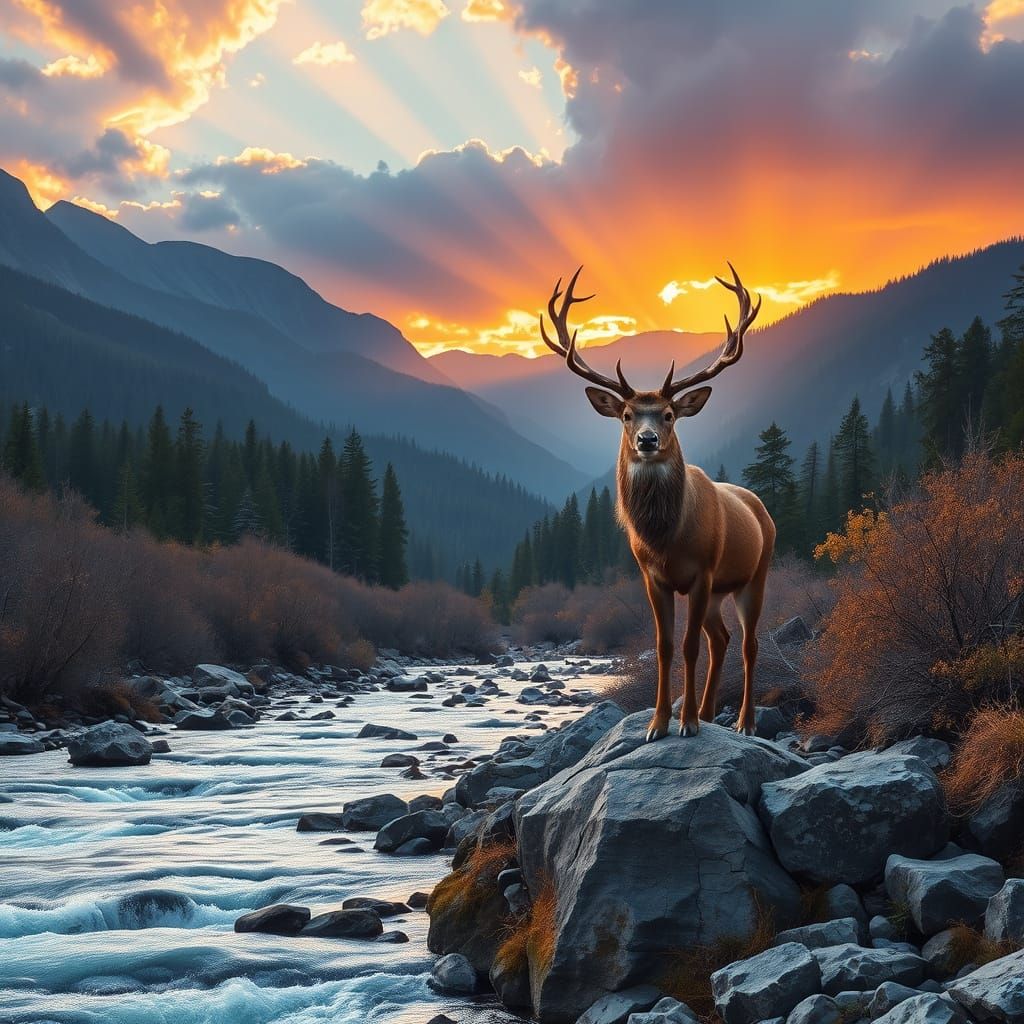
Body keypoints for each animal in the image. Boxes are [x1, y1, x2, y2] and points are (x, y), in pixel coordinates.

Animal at [540, 265, 773, 741]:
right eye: (628, 414)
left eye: (668, 414)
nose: (647, 440)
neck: (666, 538)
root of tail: (761, 508)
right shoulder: (652, 576)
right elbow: (664, 646)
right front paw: (659, 722)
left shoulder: (703, 570)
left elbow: (687, 646)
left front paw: (686, 723)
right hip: (719, 592)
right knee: (720, 639)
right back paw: (709, 712)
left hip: (753, 574)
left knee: (748, 643)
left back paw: (744, 722)